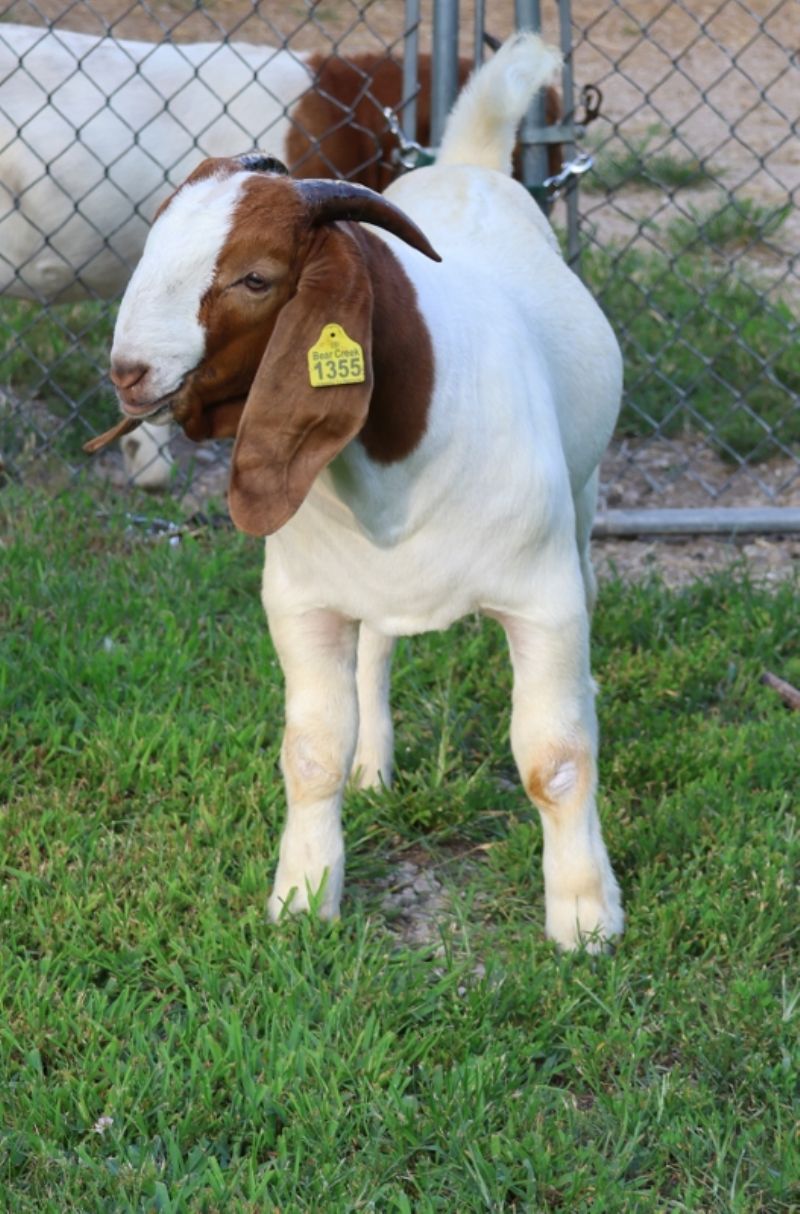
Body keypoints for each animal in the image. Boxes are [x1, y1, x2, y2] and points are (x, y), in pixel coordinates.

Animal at [106, 32, 623, 949]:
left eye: (254, 279)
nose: (128, 372)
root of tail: (469, 163)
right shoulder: (302, 604)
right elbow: (310, 751)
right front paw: (303, 896)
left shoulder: (543, 601)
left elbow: (555, 758)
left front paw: (585, 918)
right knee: (378, 646)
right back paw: (373, 762)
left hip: (585, 501)